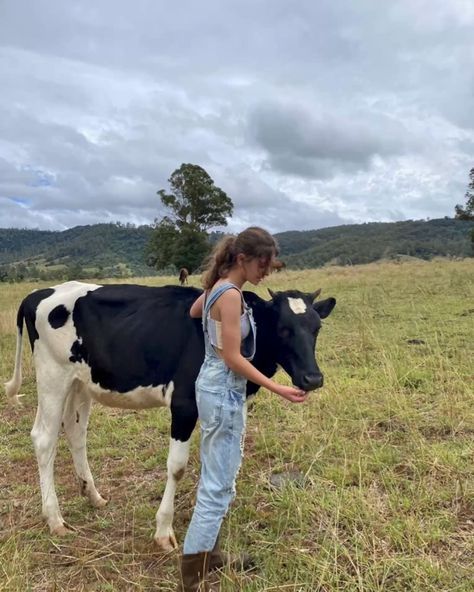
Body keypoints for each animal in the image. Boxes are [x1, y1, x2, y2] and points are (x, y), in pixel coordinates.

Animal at [5, 280, 336, 552]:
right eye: (283, 329)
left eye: (317, 328)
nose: (313, 379)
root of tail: (38, 293)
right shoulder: (184, 404)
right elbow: (177, 467)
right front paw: (164, 530)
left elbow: (223, 458)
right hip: (52, 377)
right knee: (43, 439)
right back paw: (55, 519)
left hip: (80, 383)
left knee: (76, 433)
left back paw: (94, 496)